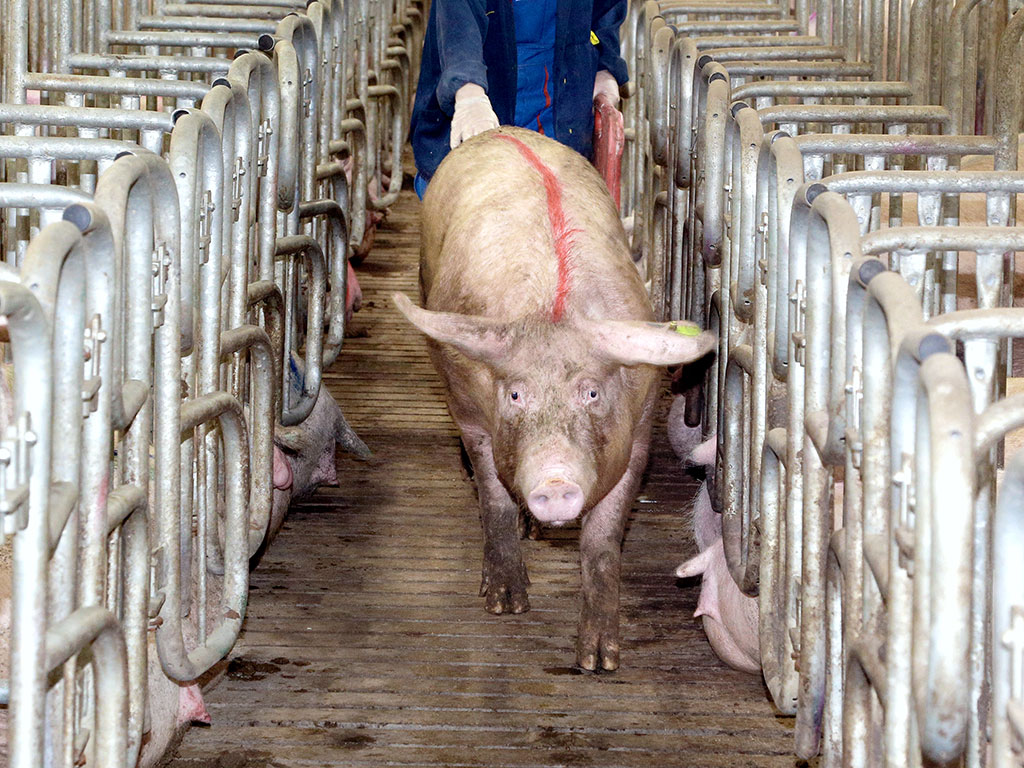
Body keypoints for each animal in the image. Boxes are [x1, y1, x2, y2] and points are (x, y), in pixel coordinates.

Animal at [391, 128, 712, 671]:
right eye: (516, 393)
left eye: (592, 391)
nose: (556, 479)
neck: (554, 314)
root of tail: (497, 131)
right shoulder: (471, 412)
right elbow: (494, 498)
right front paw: (505, 604)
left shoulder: (638, 433)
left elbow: (603, 540)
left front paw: (599, 661)